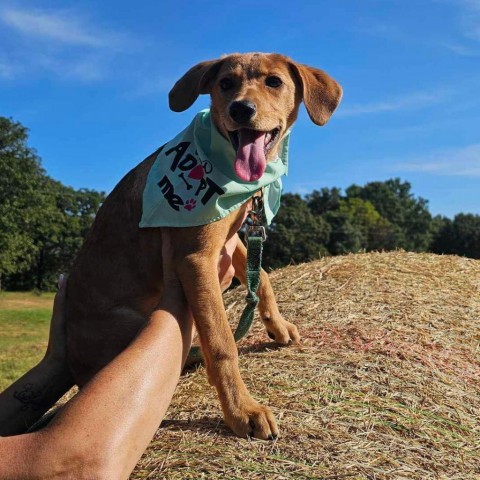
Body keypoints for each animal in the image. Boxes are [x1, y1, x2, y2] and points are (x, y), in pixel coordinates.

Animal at [64, 51, 342, 438]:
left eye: (274, 82)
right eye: (225, 83)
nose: (241, 109)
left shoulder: (230, 237)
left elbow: (262, 277)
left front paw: (277, 325)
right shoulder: (196, 258)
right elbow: (222, 342)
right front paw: (242, 410)